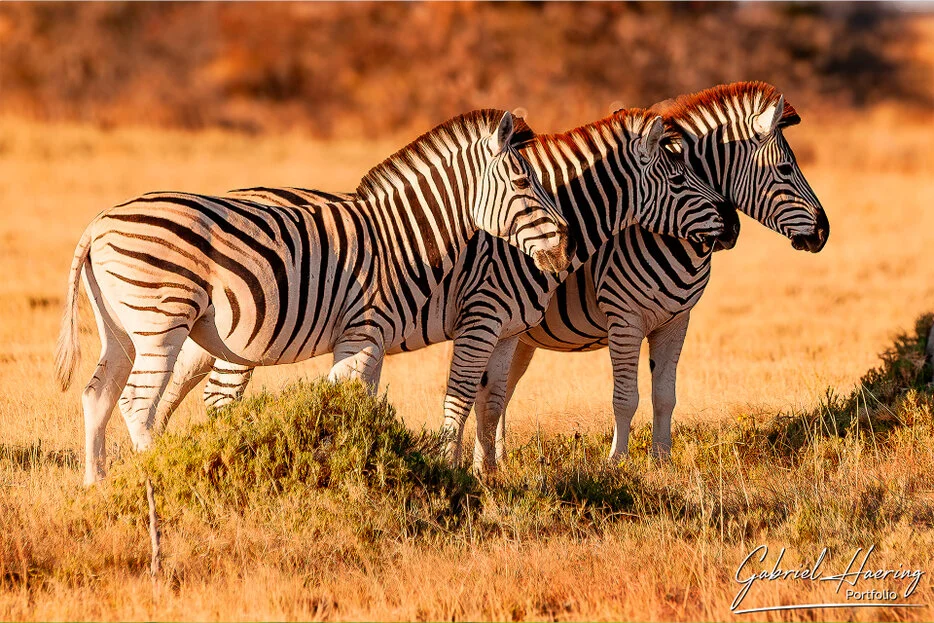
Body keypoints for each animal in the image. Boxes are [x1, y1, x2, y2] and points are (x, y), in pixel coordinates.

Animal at [55, 109, 572, 485]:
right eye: (523, 183)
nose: (565, 243)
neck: (399, 239)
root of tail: (98, 223)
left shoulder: (370, 341)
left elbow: (358, 408)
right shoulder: (364, 332)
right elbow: (342, 408)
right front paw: (346, 477)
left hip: (121, 330)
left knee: (98, 394)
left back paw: (96, 486)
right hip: (160, 323)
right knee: (136, 403)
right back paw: (155, 477)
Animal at [154, 107, 731, 466]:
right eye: (678, 177)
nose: (728, 226)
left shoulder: (508, 329)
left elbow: (491, 402)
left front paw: (487, 472)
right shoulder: (481, 318)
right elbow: (461, 397)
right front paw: (449, 467)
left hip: (220, 332)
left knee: (182, 375)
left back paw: (160, 448)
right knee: (215, 391)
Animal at [470, 81, 830, 470]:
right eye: (785, 168)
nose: (823, 233)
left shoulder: (676, 321)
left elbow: (665, 395)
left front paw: (662, 459)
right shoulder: (625, 320)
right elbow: (626, 398)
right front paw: (617, 461)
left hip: (520, 334)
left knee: (500, 392)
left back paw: (498, 461)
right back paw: (482, 465)